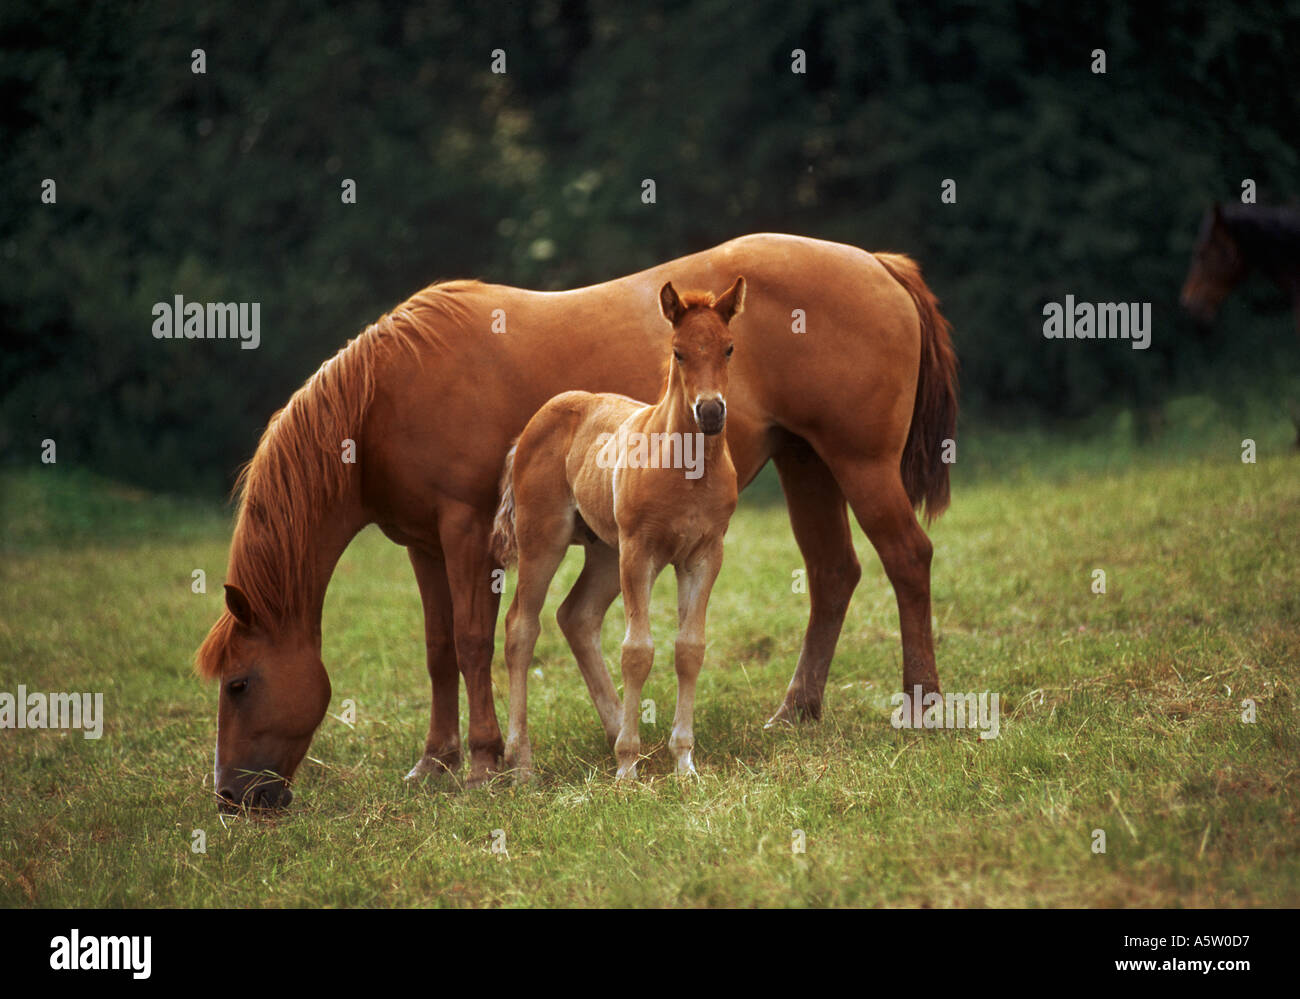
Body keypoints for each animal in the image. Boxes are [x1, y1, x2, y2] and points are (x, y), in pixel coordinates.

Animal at [197, 234, 961, 811]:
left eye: (240, 685)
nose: (232, 797)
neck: (388, 391)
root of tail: (876, 262)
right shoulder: (423, 545)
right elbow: (439, 648)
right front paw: (434, 761)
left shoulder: (467, 531)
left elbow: (475, 641)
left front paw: (484, 761)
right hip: (807, 465)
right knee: (833, 574)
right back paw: (794, 712)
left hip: (861, 464)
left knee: (908, 559)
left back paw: (922, 707)